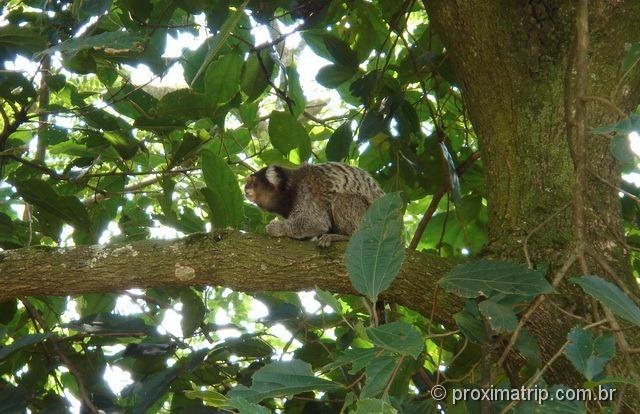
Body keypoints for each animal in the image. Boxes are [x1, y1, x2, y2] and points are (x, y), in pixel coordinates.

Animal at [245, 162, 384, 246]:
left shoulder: (307, 191)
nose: (245, 188)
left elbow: (317, 222)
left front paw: (277, 227)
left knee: (341, 198)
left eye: (251, 181)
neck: (289, 190)